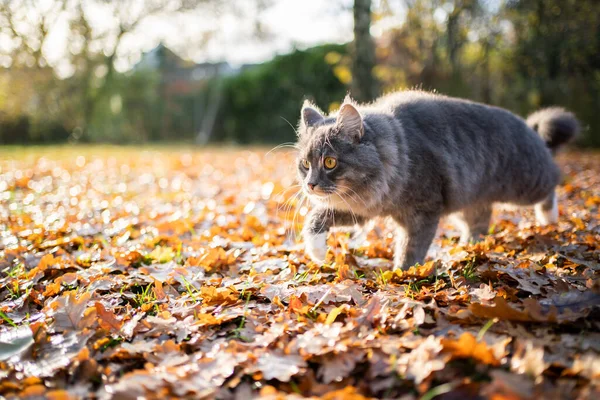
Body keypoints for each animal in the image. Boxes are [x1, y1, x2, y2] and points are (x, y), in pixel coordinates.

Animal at [298, 91, 580, 268]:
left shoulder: (423, 211)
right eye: (305, 164)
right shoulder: (362, 208)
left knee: (553, 180)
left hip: (526, 184)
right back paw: (468, 248)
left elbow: (411, 248)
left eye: (330, 162)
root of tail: (530, 130)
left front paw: (402, 274)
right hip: (470, 201)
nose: (310, 184)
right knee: (480, 222)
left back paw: (549, 218)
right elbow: (315, 218)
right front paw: (317, 252)